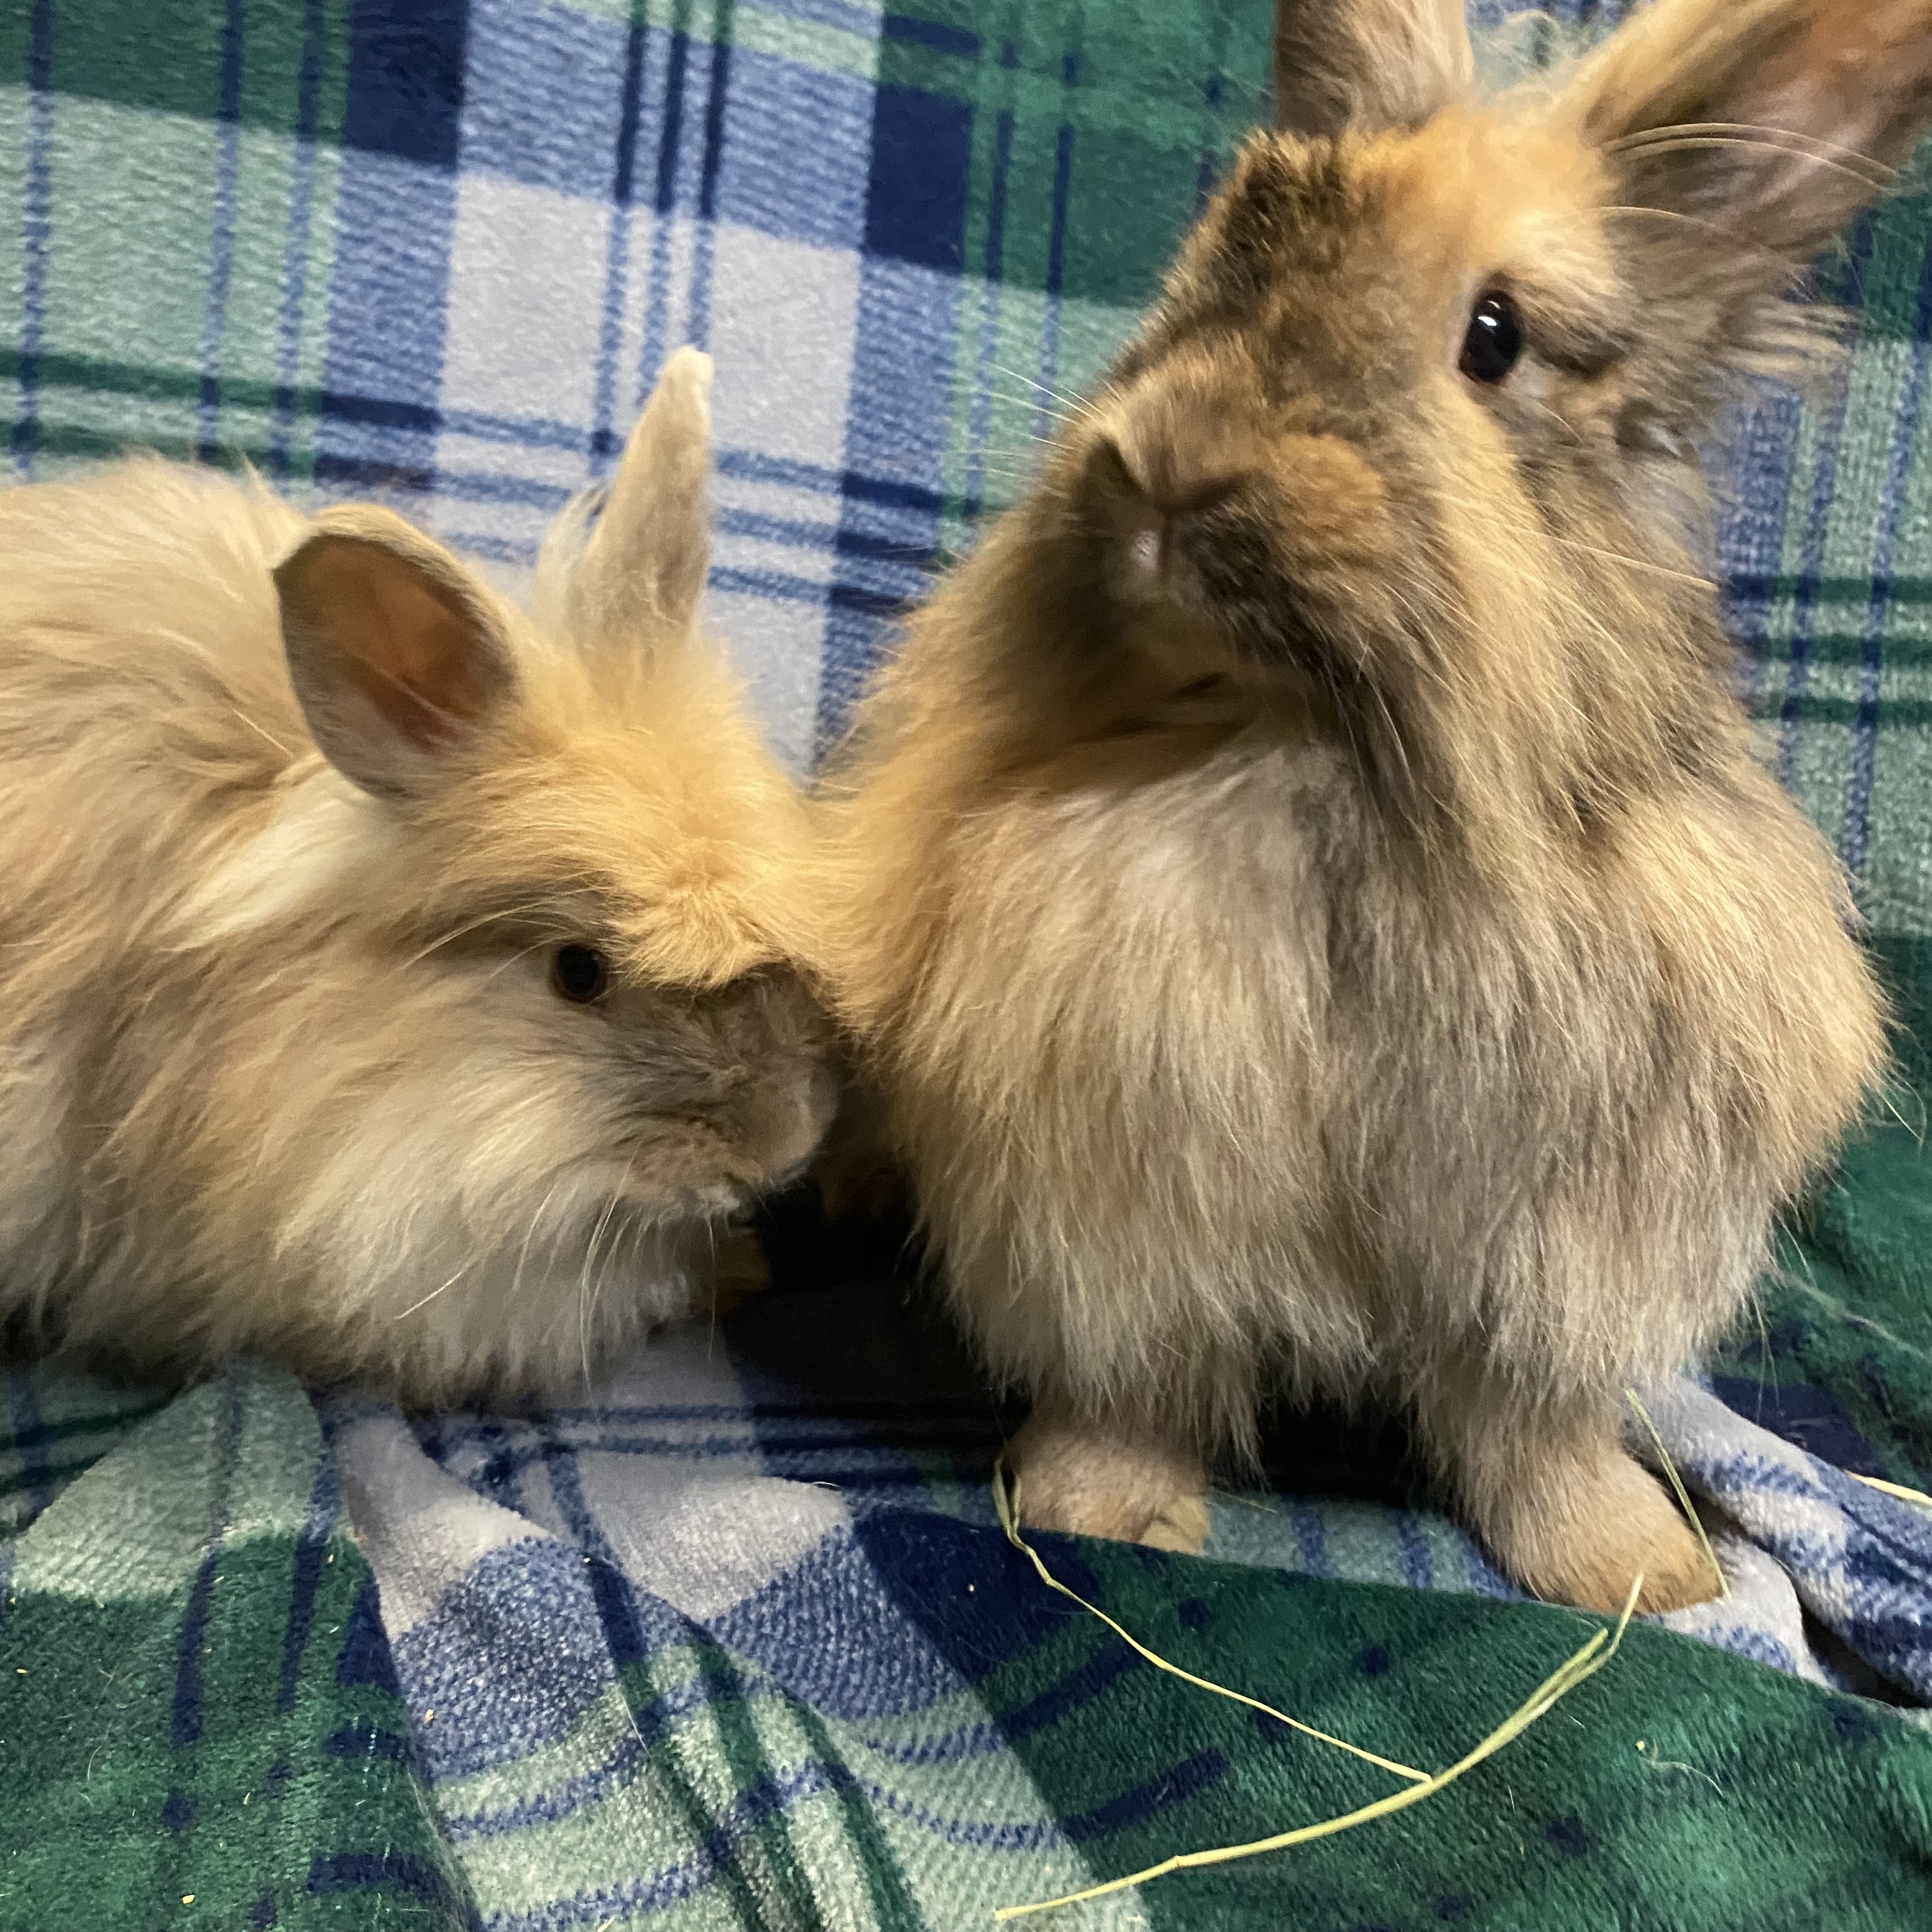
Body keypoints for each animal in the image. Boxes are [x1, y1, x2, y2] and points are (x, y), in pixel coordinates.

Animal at [814, 0, 1921, 1614]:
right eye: (1226, 242)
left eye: (1494, 334)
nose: (1166, 469)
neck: (1319, 752)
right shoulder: (1120, 1213)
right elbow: (1136, 1389)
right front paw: (1099, 1517)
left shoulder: (1559, 1255)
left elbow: (1533, 1431)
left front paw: (1641, 1574)